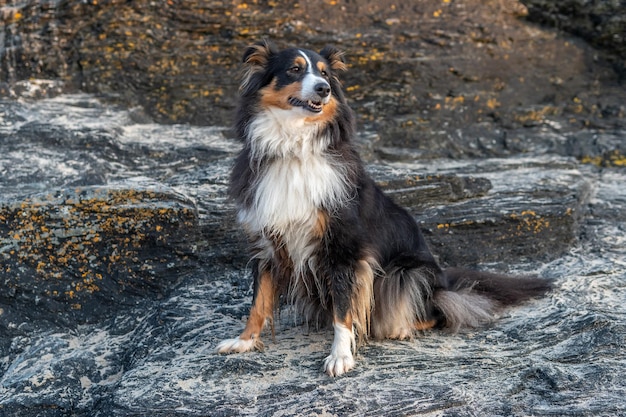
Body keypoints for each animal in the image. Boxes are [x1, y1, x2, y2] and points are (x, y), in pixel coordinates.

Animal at [216, 40, 552, 376]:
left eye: (325, 74)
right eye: (294, 69)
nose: (324, 89)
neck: (294, 148)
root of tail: (444, 282)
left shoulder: (344, 247)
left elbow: (343, 309)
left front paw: (340, 356)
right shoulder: (267, 243)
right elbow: (259, 300)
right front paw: (244, 341)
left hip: (405, 272)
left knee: (437, 312)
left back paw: (403, 327)